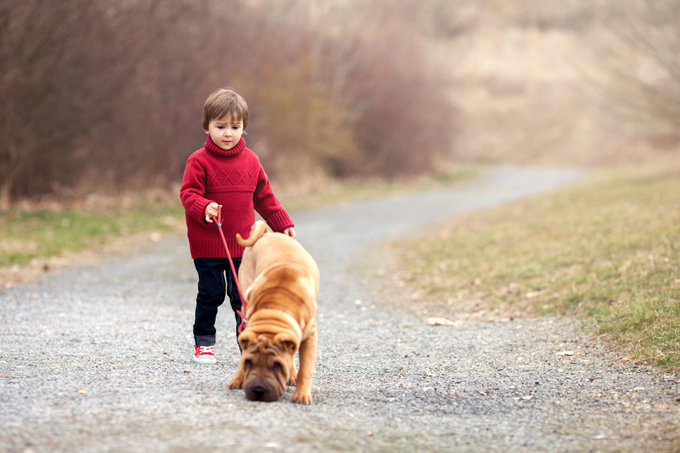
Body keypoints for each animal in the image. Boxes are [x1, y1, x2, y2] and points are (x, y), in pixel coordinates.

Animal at [228, 219, 318, 402]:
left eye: (277, 366)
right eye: (250, 363)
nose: (258, 390)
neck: (275, 309)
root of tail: (267, 234)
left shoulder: (310, 336)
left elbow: (306, 369)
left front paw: (302, 395)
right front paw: (239, 377)